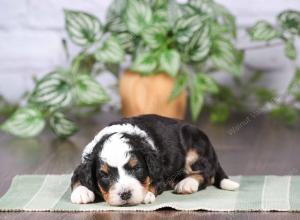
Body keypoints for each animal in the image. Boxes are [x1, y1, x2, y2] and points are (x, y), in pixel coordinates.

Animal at [70, 114, 239, 205]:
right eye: (104, 175)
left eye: (137, 168)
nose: (125, 195)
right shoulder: (82, 164)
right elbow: (76, 178)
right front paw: (81, 193)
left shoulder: (160, 172)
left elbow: (154, 183)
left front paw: (146, 194)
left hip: (195, 147)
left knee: (206, 174)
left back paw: (187, 184)